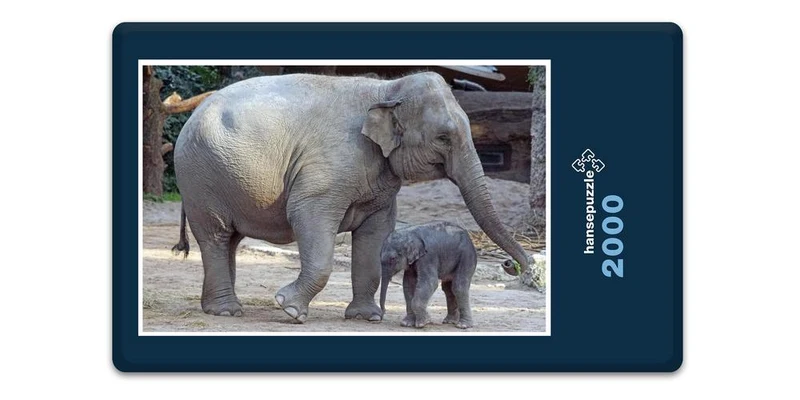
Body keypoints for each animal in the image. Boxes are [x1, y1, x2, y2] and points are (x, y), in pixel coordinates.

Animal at [171, 71, 531, 323]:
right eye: (444, 137)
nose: (513, 266)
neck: (386, 90)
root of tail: (192, 114)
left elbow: (376, 234)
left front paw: (365, 317)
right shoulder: (327, 170)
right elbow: (306, 215)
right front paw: (289, 309)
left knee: (230, 240)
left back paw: (219, 307)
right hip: (201, 178)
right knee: (216, 236)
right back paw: (227, 311)